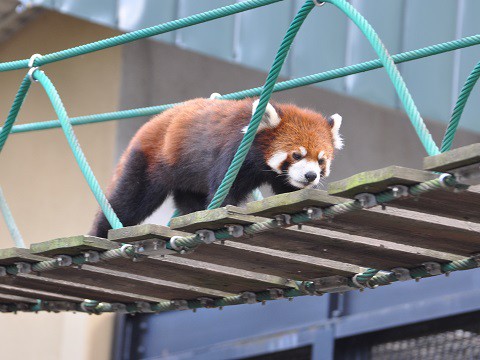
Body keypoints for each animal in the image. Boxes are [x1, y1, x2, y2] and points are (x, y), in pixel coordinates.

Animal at [90, 97, 344, 238]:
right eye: (296, 155)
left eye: (321, 160)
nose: (310, 175)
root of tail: (154, 120)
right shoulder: (233, 152)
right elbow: (224, 192)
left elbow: (288, 189)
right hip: (149, 160)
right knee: (129, 200)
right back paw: (100, 232)